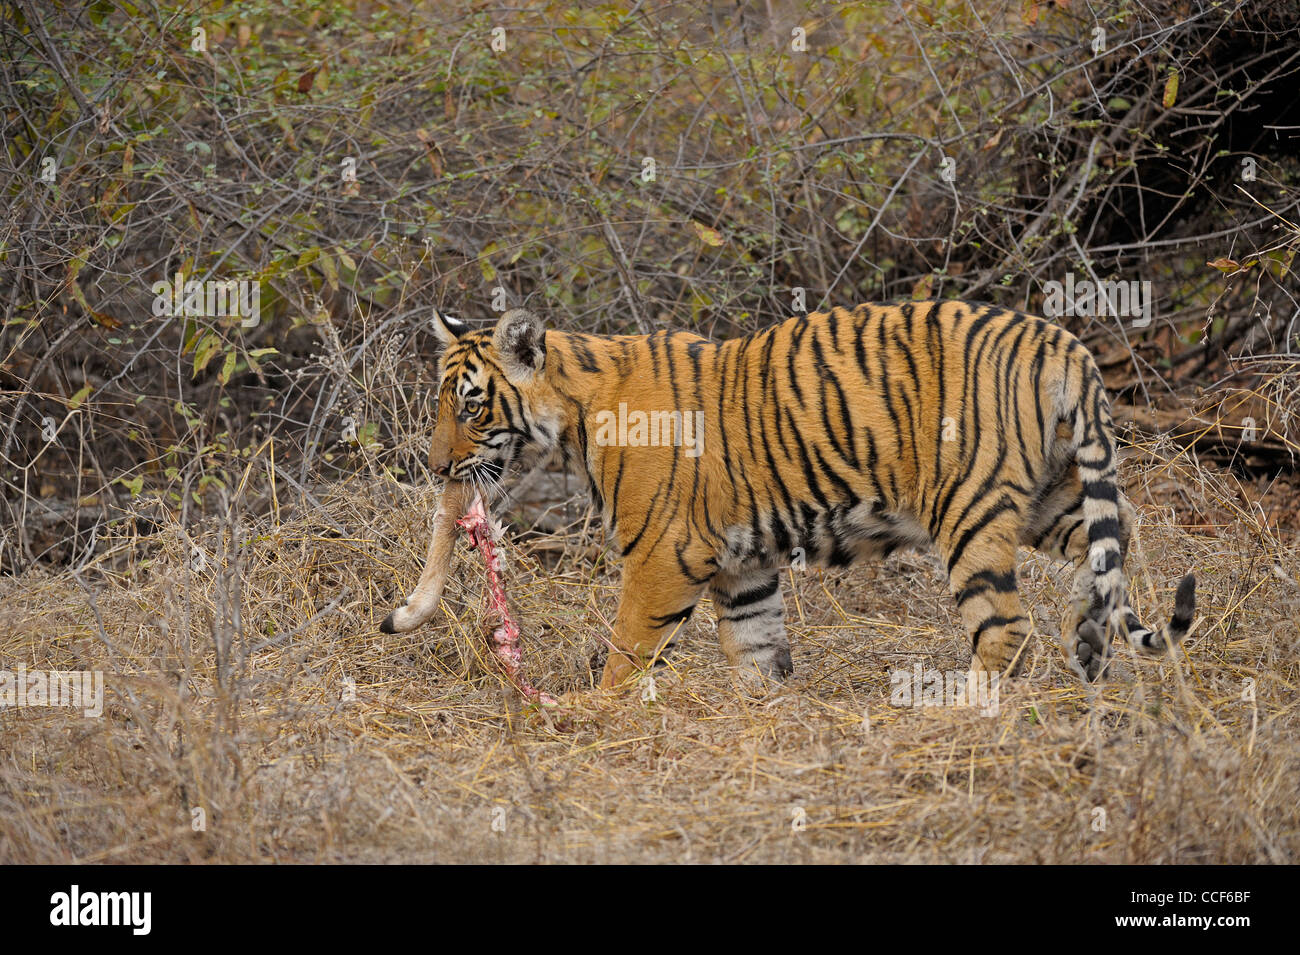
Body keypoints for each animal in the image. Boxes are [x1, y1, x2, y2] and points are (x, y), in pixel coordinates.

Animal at [379, 304, 1190, 696]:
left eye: (473, 405)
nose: (435, 465)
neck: (578, 413)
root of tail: (1065, 344)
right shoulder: (742, 567)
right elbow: (755, 650)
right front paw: (762, 719)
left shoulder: (661, 556)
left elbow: (626, 653)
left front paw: (593, 717)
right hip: (1053, 495)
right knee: (1118, 545)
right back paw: (1091, 649)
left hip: (971, 508)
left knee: (1006, 628)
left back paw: (964, 710)